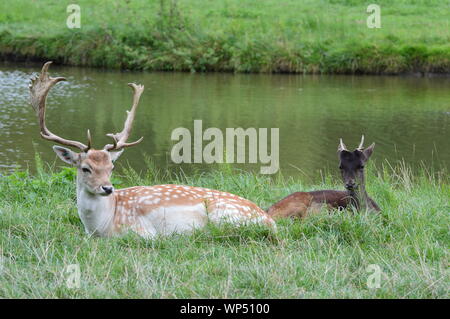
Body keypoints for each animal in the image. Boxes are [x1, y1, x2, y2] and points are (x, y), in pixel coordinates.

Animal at [29, 62, 274, 238]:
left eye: (111, 166)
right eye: (85, 168)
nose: (107, 188)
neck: (101, 226)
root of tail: (268, 219)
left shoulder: (142, 233)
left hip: (223, 217)